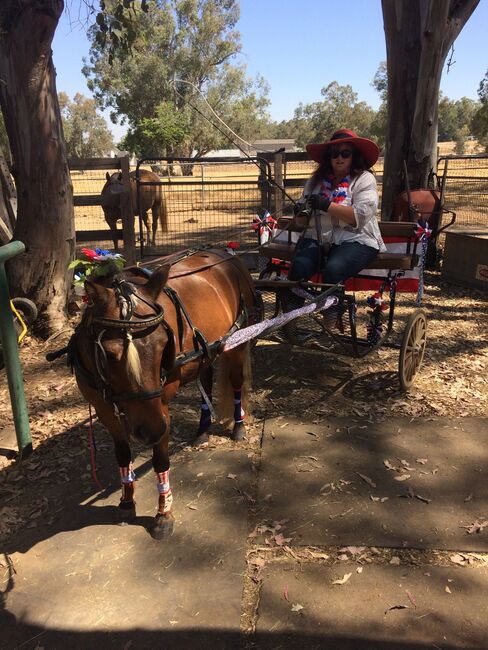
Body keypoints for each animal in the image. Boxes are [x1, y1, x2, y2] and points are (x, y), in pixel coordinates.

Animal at [69, 247, 260, 536]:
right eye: (109, 354)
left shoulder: (161, 410)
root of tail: (227, 253)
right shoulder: (107, 413)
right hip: (205, 351)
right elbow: (122, 456)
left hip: (238, 340)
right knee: (205, 379)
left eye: (162, 345)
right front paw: (126, 501)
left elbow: (161, 460)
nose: (150, 430)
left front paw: (164, 513)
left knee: (236, 380)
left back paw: (238, 426)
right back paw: (202, 431)